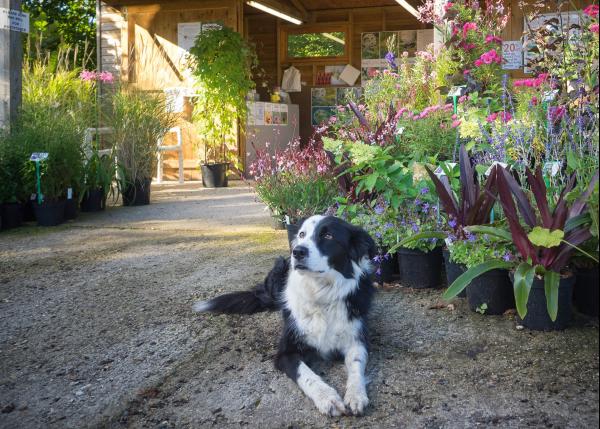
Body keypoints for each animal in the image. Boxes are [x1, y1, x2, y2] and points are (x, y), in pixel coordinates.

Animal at [191, 214, 376, 414]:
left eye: (328, 236)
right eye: (302, 234)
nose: (297, 252)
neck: (321, 295)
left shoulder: (357, 340)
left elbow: (356, 364)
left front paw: (356, 394)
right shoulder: (285, 353)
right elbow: (305, 374)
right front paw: (327, 398)